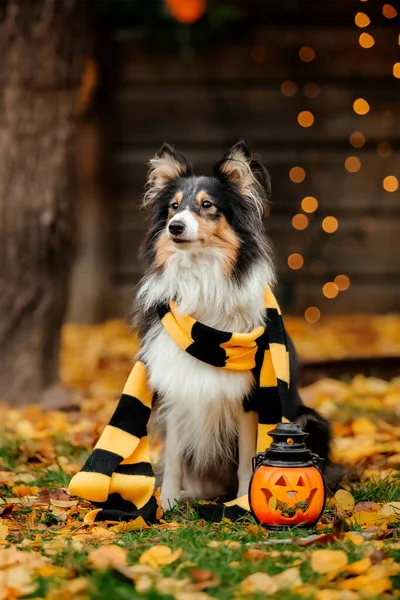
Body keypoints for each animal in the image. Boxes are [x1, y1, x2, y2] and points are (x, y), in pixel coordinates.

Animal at [133, 141, 330, 510]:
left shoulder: (249, 400)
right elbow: (175, 459)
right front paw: (167, 505)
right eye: (173, 206)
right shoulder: (178, 389)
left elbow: (248, 461)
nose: (174, 227)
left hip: (310, 420)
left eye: (207, 205)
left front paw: (242, 504)